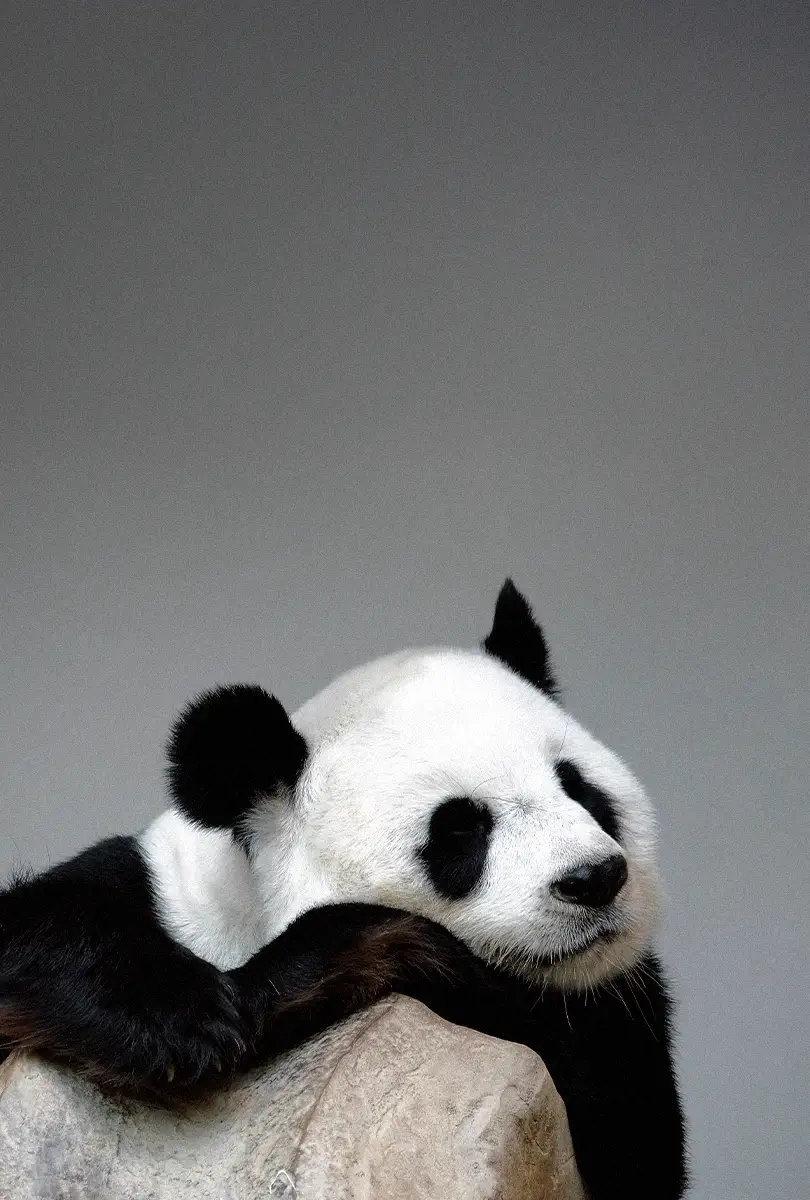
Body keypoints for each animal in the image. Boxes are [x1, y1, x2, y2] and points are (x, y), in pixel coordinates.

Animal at [0, 580, 686, 1200]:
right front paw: (180, 1024)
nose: (593, 879)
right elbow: (42, 927)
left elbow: (634, 1137)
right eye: (459, 828)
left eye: (578, 787)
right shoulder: (154, 887)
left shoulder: (613, 1019)